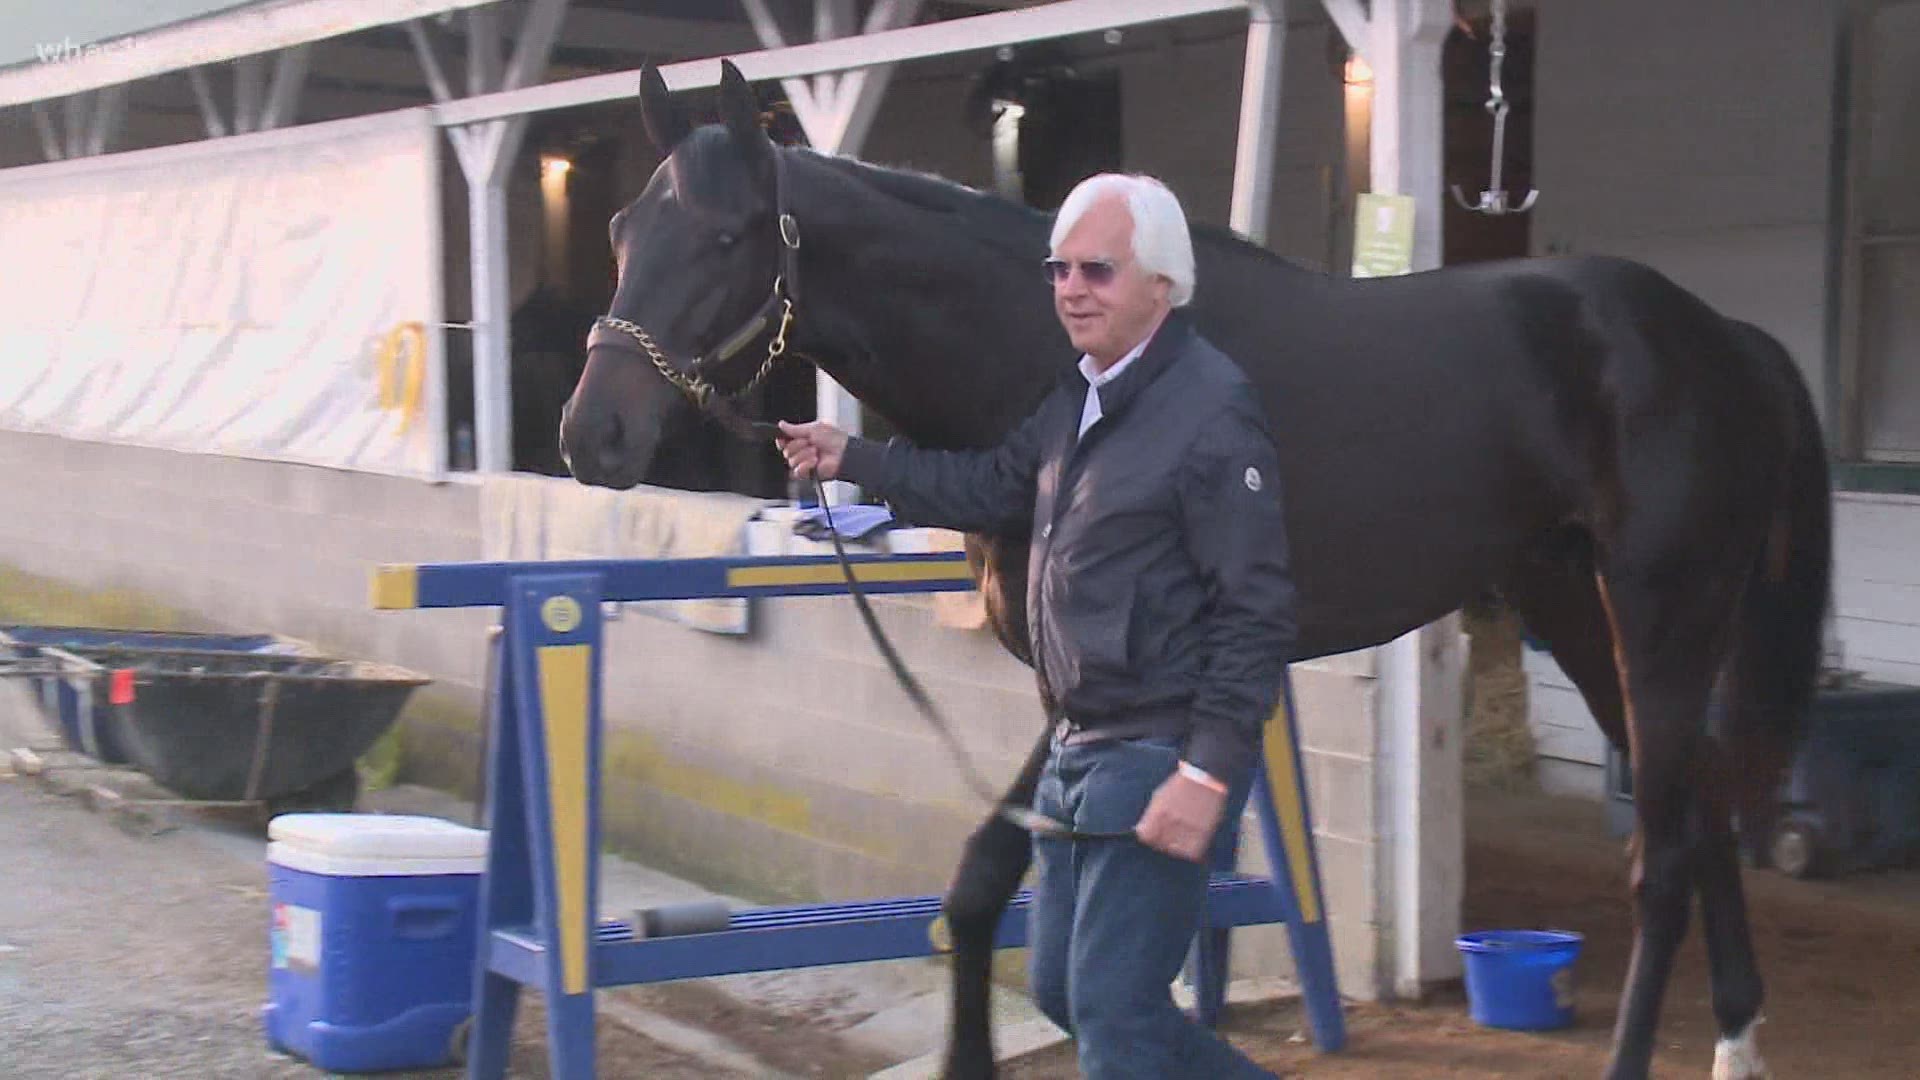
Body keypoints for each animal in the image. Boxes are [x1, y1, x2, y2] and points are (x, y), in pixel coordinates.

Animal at [556, 61, 1827, 1076]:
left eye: (726, 237)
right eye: (620, 233)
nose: (590, 435)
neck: (1045, 361)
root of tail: (1718, 337)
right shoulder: (1062, 686)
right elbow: (980, 886)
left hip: (1663, 616)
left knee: (1665, 857)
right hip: (1579, 607)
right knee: (1701, 817)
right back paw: (1738, 1041)